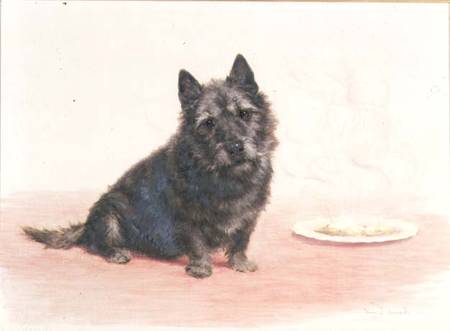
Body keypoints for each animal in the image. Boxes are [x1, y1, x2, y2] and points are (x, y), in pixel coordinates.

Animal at [25, 55, 278, 278]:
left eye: (244, 114)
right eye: (209, 123)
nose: (235, 147)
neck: (227, 176)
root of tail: (85, 225)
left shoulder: (248, 218)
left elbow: (240, 241)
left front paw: (240, 263)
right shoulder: (187, 218)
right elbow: (197, 244)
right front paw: (201, 268)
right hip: (109, 214)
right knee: (97, 244)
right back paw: (116, 253)